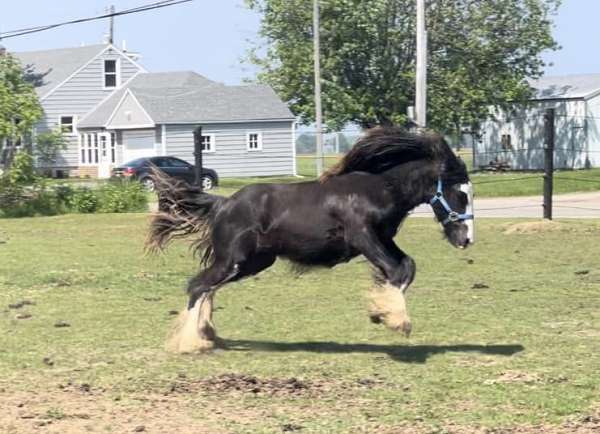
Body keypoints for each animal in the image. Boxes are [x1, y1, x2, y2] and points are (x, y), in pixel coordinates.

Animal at [149, 127, 474, 354]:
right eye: (461, 193)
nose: (467, 238)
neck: (378, 189)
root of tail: (222, 203)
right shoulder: (363, 237)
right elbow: (397, 271)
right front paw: (396, 320)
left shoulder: (383, 239)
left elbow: (407, 266)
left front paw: (380, 312)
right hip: (233, 260)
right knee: (197, 286)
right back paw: (190, 343)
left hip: (252, 263)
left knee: (208, 288)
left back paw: (207, 334)